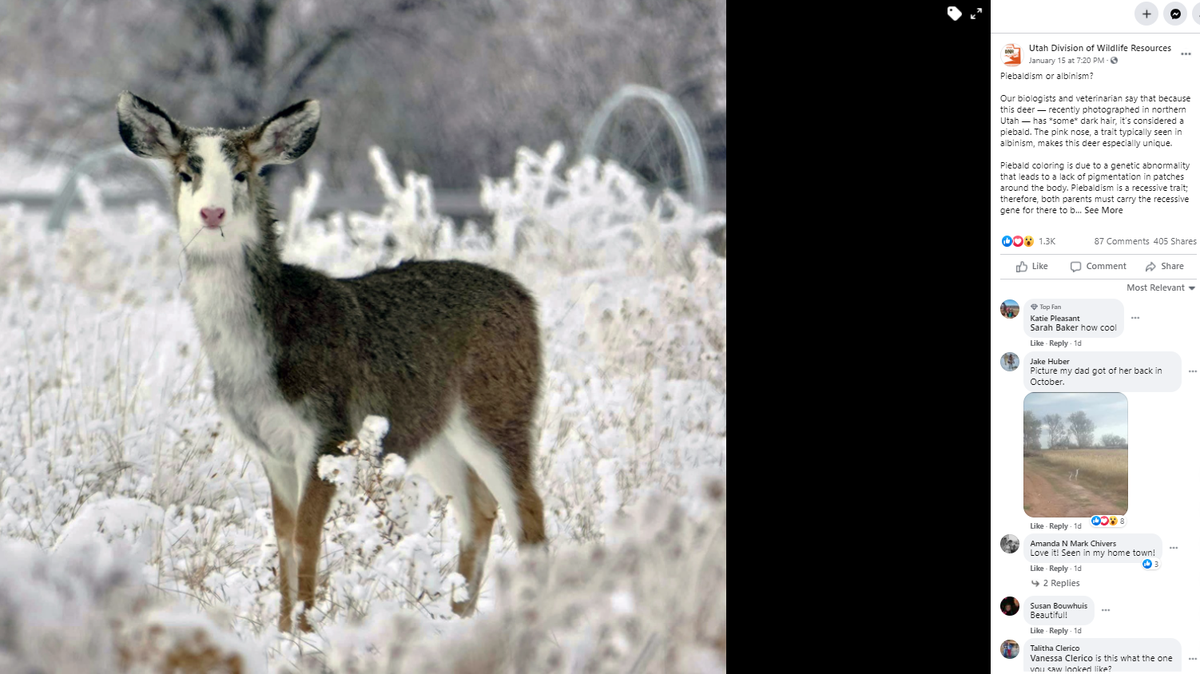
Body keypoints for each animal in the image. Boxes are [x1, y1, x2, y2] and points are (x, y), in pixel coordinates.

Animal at [116, 92, 546, 631]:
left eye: (241, 173)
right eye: (186, 172)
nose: (212, 213)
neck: (263, 353)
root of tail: (526, 300)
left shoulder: (329, 430)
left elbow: (306, 539)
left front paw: (302, 632)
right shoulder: (271, 447)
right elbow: (282, 541)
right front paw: (281, 631)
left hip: (499, 406)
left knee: (528, 511)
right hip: (431, 431)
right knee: (480, 507)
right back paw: (455, 618)